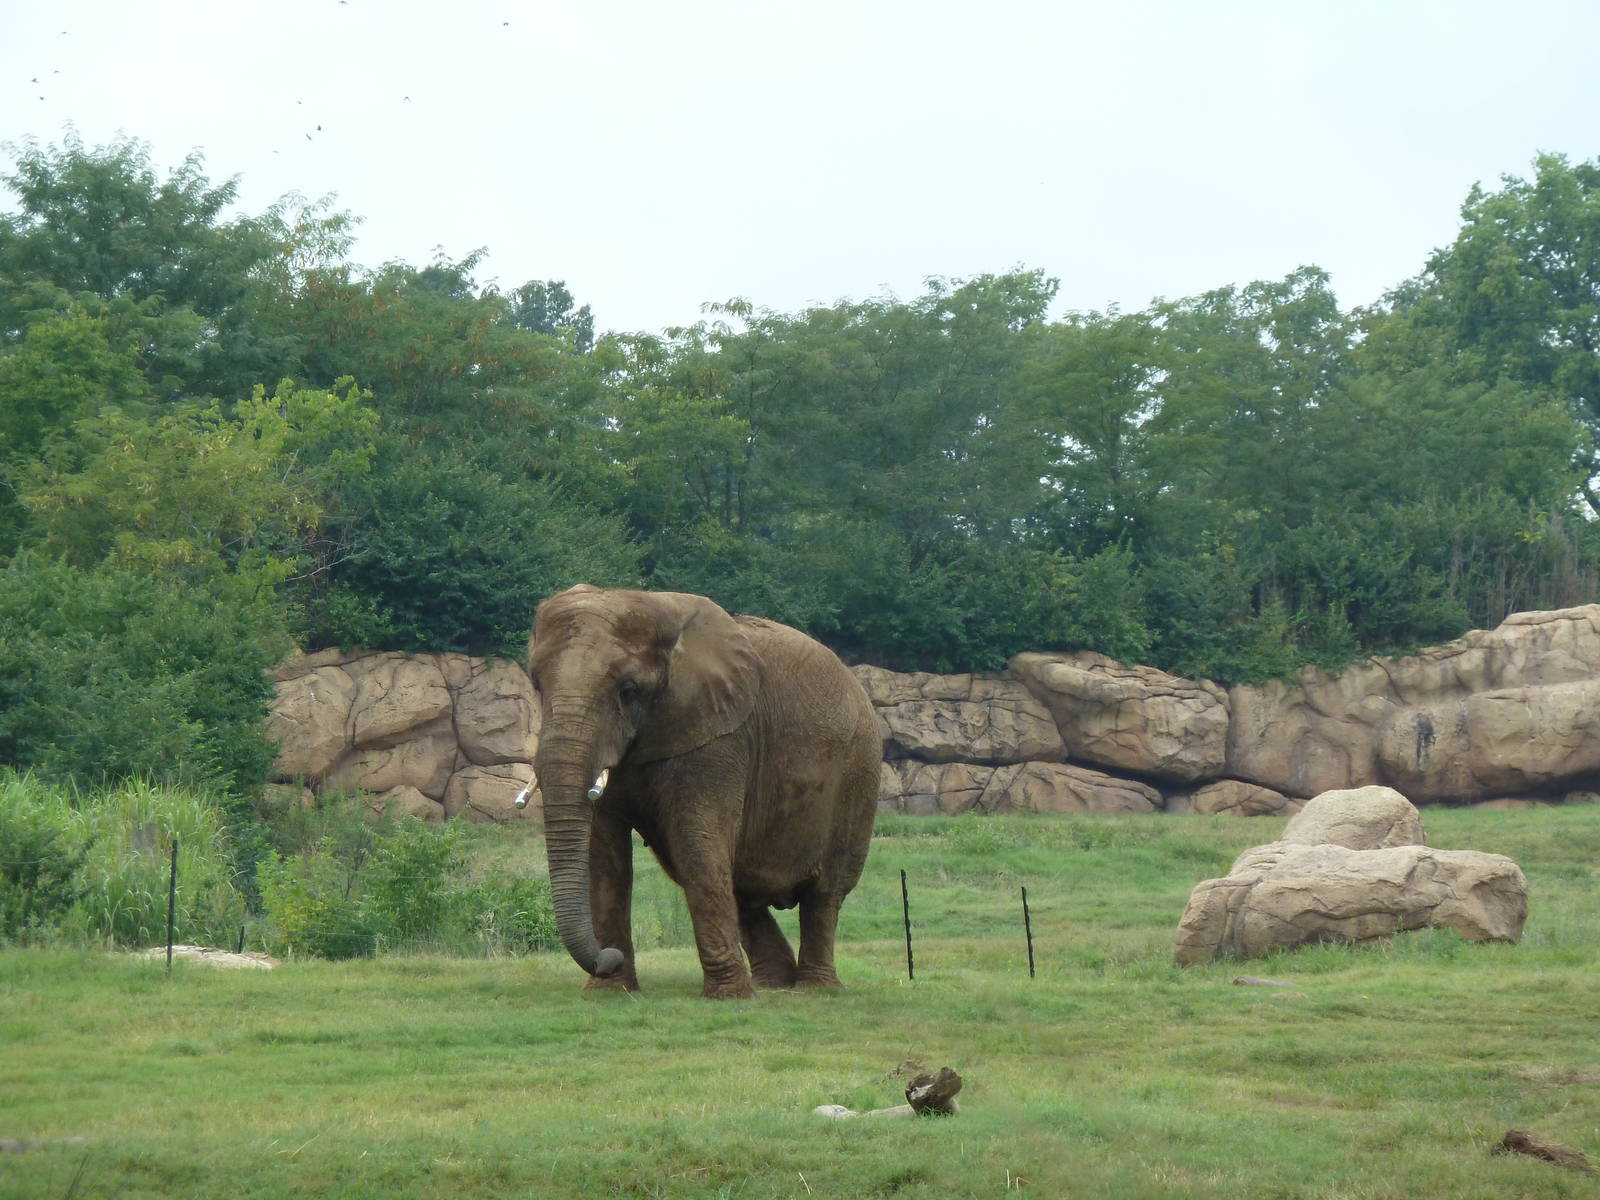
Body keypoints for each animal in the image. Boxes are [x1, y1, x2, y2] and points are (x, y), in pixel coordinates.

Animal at [527, 585, 882, 999]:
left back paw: (814, 988)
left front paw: (727, 998)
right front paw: (609, 992)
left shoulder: (719, 737)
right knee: (743, 892)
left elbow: (696, 841)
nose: (607, 958)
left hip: (858, 774)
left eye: (628, 690)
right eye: (537, 684)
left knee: (825, 893)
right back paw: (774, 986)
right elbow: (605, 854)